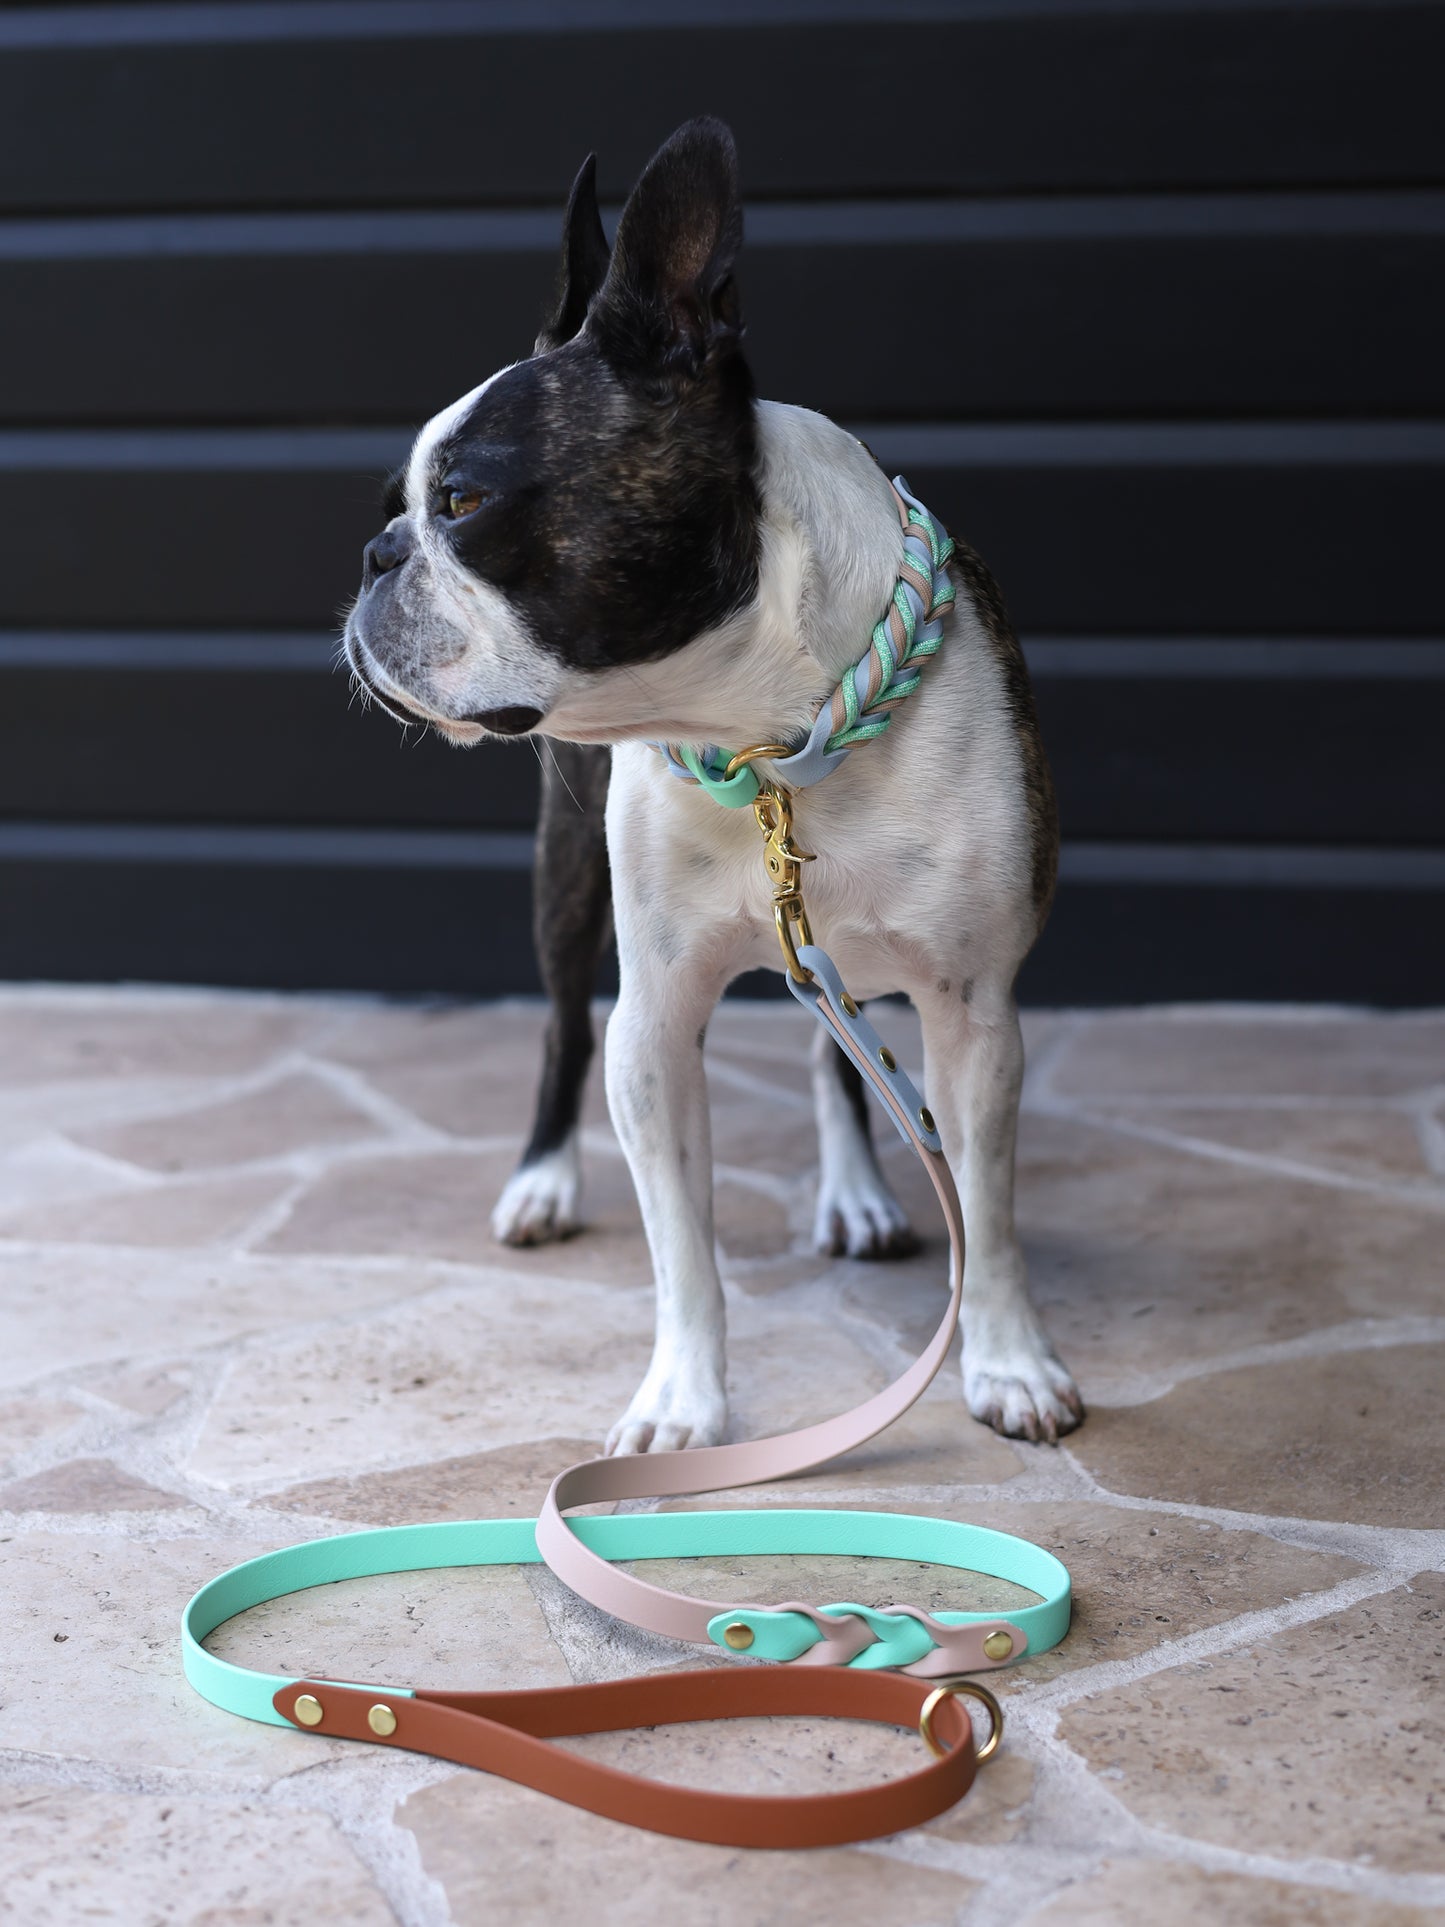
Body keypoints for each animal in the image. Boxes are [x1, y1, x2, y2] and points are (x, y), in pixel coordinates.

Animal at [344, 120, 1078, 1449]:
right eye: (396, 512)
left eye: (462, 503)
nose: (376, 557)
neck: (771, 742)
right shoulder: (658, 1015)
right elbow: (680, 1244)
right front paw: (681, 1402)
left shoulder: (973, 1009)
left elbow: (984, 1208)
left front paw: (1007, 1363)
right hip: (567, 874)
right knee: (562, 1027)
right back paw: (542, 1178)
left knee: (838, 1049)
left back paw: (856, 1190)